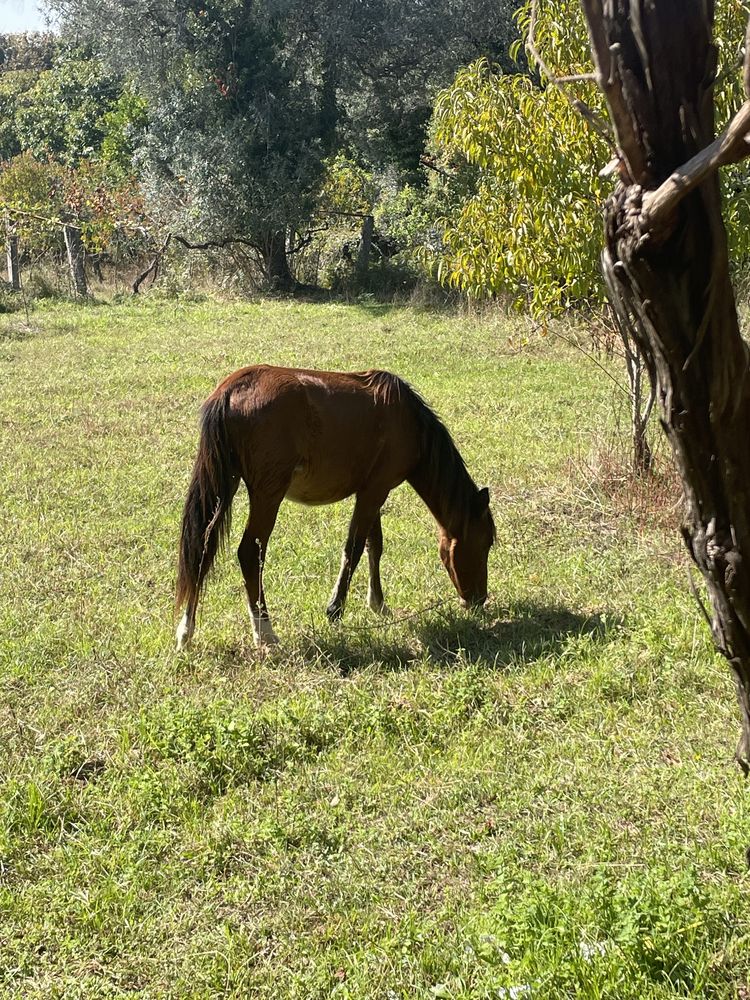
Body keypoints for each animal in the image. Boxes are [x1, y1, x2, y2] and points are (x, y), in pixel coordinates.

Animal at [173, 366, 496, 648]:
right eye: (485, 544)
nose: (478, 600)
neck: (408, 421)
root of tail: (232, 389)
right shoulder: (374, 492)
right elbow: (354, 548)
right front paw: (335, 609)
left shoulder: (371, 491)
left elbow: (374, 546)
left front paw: (378, 604)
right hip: (267, 495)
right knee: (250, 554)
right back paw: (265, 633)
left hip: (223, 485)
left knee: (202, 549)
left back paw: (186, 632)